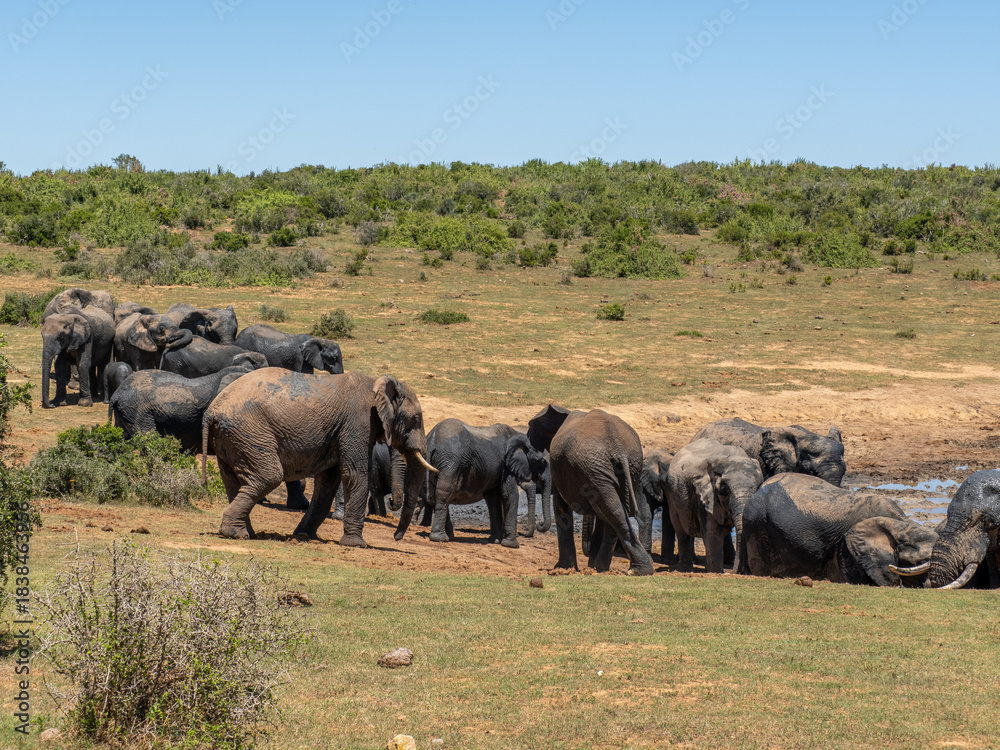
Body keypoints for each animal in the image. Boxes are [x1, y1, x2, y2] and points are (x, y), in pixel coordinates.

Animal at [202, 369, 434, 546]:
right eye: (416, 419)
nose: (396, 537)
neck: (375, 383)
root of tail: (211, 411)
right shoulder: (357, 422)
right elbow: (354, 474)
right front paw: (356, 544)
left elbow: (329, 481)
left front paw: (304, 536)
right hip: (249, 433)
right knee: (267, 477)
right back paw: (235, 533)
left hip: (231, 439)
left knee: (233, 482)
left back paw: (243, 533)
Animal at [394, 420, 548, 548]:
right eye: (541, 461)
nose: (539, 525)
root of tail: (432, 438)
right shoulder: (506, 466)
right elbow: (510, 495)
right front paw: (512, 545)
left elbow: (493, 499)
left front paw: (495, 541)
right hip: (451, 464)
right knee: (443, 495)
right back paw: (440, 538)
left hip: (431, 463)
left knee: (435, 496)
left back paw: (449, 537)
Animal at [527, 405, 653, 576]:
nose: (539, 524)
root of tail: (617, 446)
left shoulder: (559, 468)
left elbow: (560, 506)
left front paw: (563, 568)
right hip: (624, 467)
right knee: (614, 510)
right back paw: (607, 569)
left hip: (595, 469)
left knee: (611, 510)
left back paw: (629, 570)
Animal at [667, 439, 763, 573]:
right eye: (723, 489)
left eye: (758, 486)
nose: (735, 572)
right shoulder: (704, 495)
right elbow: (712, 533)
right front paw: (715, 572)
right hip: (672, 495)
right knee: (682, 532)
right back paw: (684, 570)